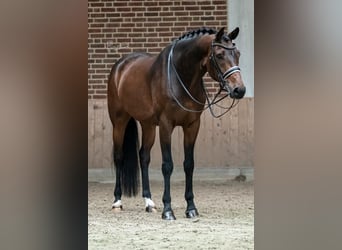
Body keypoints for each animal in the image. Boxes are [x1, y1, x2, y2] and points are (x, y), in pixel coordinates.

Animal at [108, 26, 244, 220]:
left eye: (237, 53)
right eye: (219, 55)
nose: (239, 90)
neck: (180, 75)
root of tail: (120, 65)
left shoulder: (192, 126)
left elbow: (189, 164)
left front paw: (191, 208)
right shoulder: (166, 125)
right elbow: (168, 165)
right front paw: (168, 210)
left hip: (148, 125)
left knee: (144, 157)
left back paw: (149, 203)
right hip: (119, 121)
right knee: (119, 157)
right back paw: (117, 202)